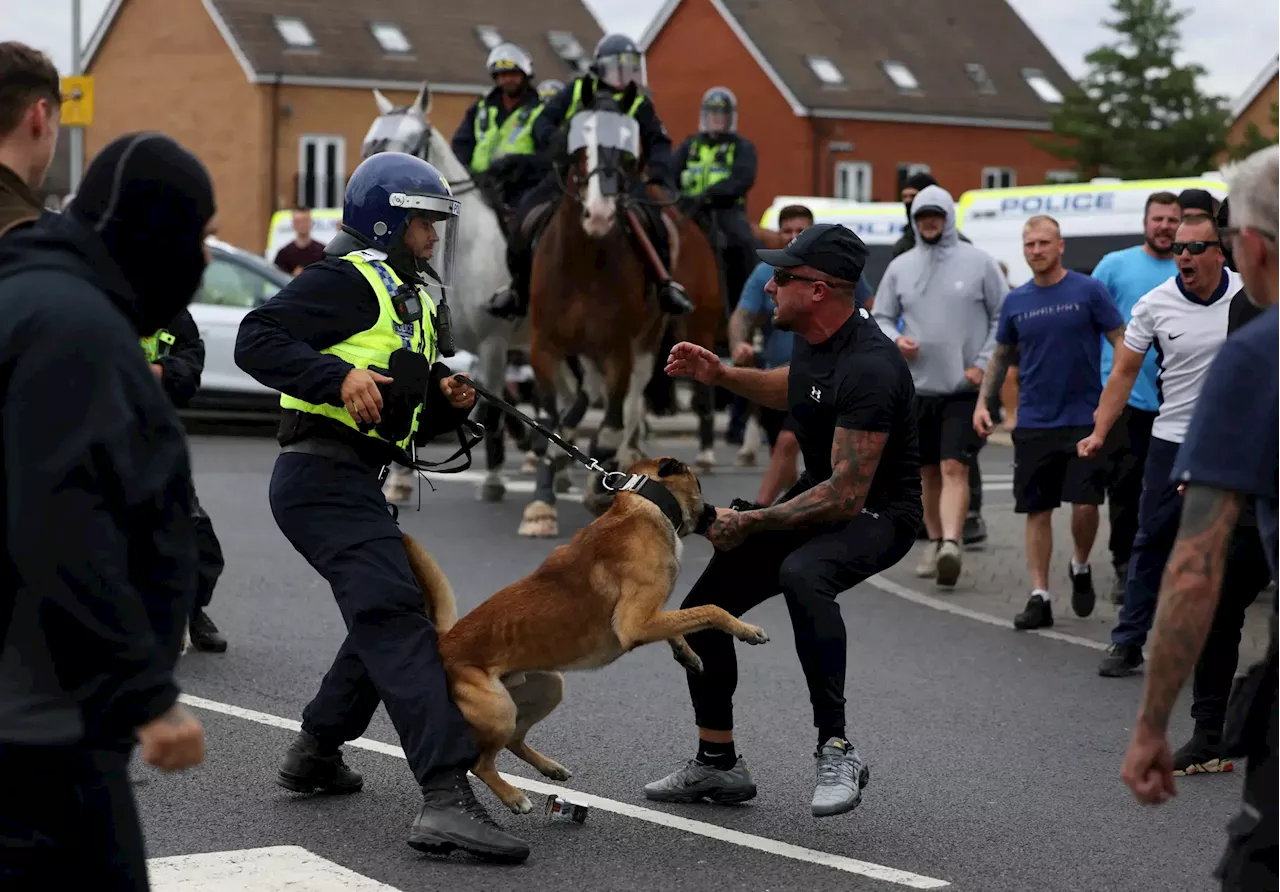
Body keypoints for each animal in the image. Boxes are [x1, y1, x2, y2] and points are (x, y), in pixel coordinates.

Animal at [360, 81, 588, 501]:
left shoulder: (493, 346)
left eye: (415, 141)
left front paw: (494, 479)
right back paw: (562, 469)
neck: (464, 254)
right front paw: (400, 479)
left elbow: (491, 412)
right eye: (370, 141)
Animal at [404, 455, 773, 808]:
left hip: (548, 687)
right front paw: (746, 630)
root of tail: (445, 644)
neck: (644, 504)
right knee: (480, 763)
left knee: (514, 741)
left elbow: (682, 618)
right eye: (698, 484)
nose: (718, 512)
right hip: (499, 710)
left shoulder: (651, 618)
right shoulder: (635, 623)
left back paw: (550, 768)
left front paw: (687, 653)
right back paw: (514, 797)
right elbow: (709, 609)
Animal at [514, 79, 670, 534]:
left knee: (629, 408)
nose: (600, 214)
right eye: (579, 142)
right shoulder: (544, 348)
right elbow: (549, 421)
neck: (585, 259)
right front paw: (541, 505)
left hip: (644, 345)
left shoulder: (618, 350)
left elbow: (611, 426)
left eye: (627, 149)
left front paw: (600, 489)